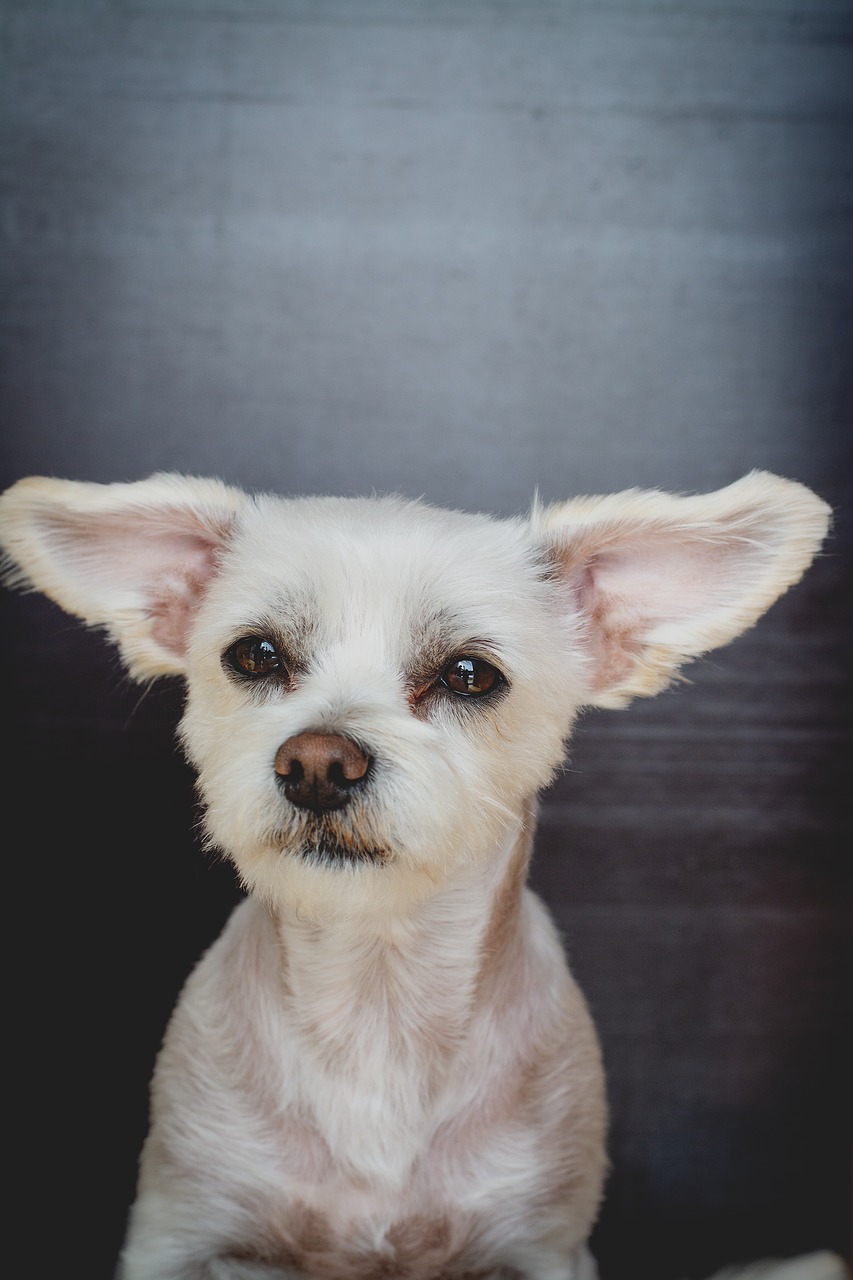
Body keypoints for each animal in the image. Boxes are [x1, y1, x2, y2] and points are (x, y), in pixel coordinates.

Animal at [0, 471, 829, 1280]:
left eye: (469, 674)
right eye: (256, 654)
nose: (317, 765)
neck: (375, 998)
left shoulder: (540, 1244)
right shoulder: (179, 1226)